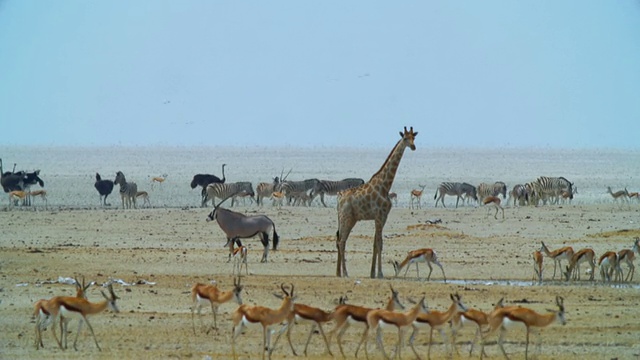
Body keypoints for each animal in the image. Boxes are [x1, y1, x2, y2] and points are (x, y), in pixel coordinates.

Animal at [336, 126, 420, 278]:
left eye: (414, 137)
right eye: (405, 138)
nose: (413, 146)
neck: (385, 186)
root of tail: (339, 197)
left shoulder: (382, 217)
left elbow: (376, 244)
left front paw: (372, 273)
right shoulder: (379, 216)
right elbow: (380, 244)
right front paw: (380, 273)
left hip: (349, 218)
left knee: (339, 240)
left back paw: (338, 273)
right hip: (347, 217)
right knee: (342, 241)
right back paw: (345, 273)